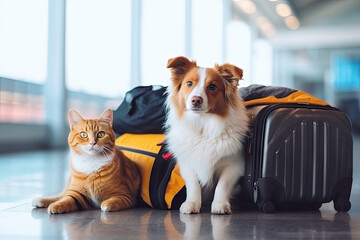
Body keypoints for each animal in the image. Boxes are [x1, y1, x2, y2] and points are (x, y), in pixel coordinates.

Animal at [165, 56, 248, 214]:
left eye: (213, 87)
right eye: (189, 83)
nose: (196, 100)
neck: (203, 126)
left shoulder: (234, 165)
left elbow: (222, 185)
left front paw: (220, 204)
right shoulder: (187, 164)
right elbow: (193, 184)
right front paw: (192, 203)